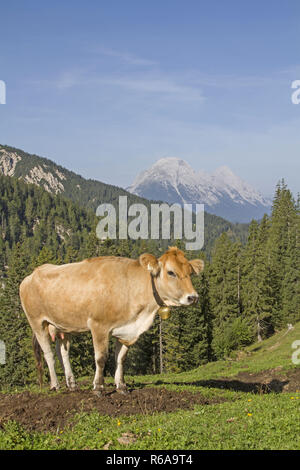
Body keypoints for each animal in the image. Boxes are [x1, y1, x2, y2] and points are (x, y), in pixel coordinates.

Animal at [19, 248, 204, 394]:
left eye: (190, 272)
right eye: (171, 272)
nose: (193, 297)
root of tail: (32, 274)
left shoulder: (126, 330)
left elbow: (121, 358)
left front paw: (121, 386)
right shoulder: (98, 326)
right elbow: (101, 358)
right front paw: (98, 387)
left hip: (63, 325)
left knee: (62, 351)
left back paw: (72, 384)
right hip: (37, 322)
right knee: (48, 353)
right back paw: (55, 385)